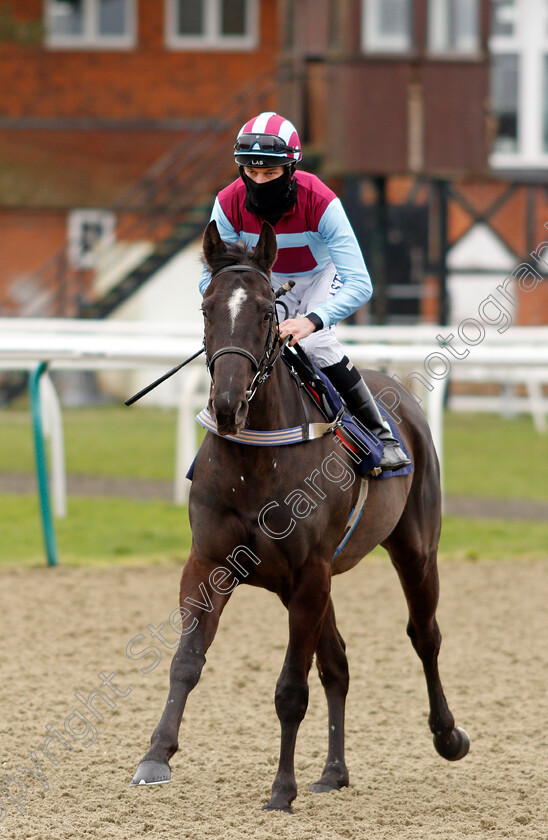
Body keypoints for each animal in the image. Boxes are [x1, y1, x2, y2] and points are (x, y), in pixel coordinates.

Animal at [131, 220, 468, 812]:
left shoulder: (310, 571)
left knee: (424, 635)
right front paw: (156, 756)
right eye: (206, 306)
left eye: (269, 310)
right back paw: (334, 771)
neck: (254, 462)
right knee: (338, 664)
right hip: (313, 583)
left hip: (413, 550)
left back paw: (447, 735)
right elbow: (186, 660)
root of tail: (397, 391)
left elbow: (291, 689)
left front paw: (281, 789)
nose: (227, 404)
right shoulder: (211, 564)